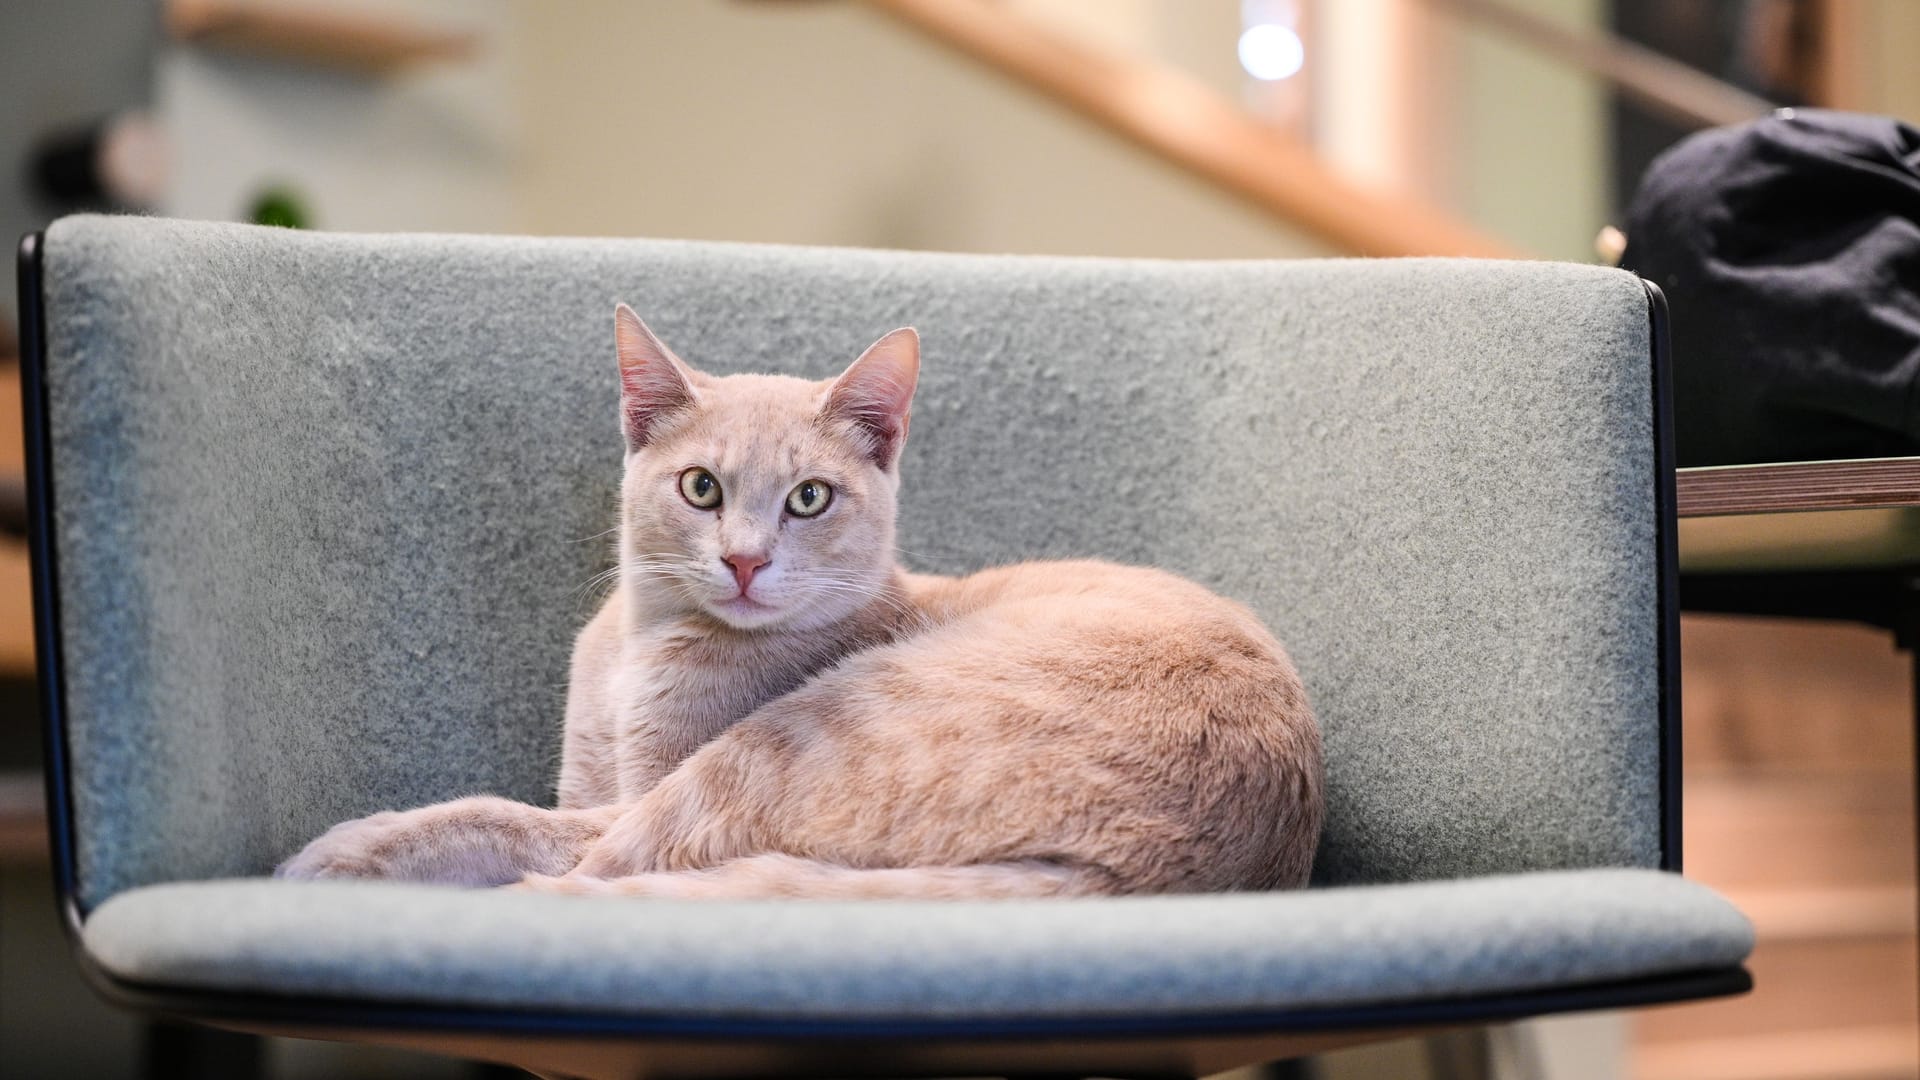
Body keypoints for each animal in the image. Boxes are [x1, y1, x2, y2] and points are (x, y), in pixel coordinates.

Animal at [278, 307, 1320, 895]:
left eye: (809, 498)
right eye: (702, 488)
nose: (745, 560)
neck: (641, 648)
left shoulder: (622, 797)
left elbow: (500, 817)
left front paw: (343, 847)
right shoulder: (588, 777)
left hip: (767, 754)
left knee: (592, 869)